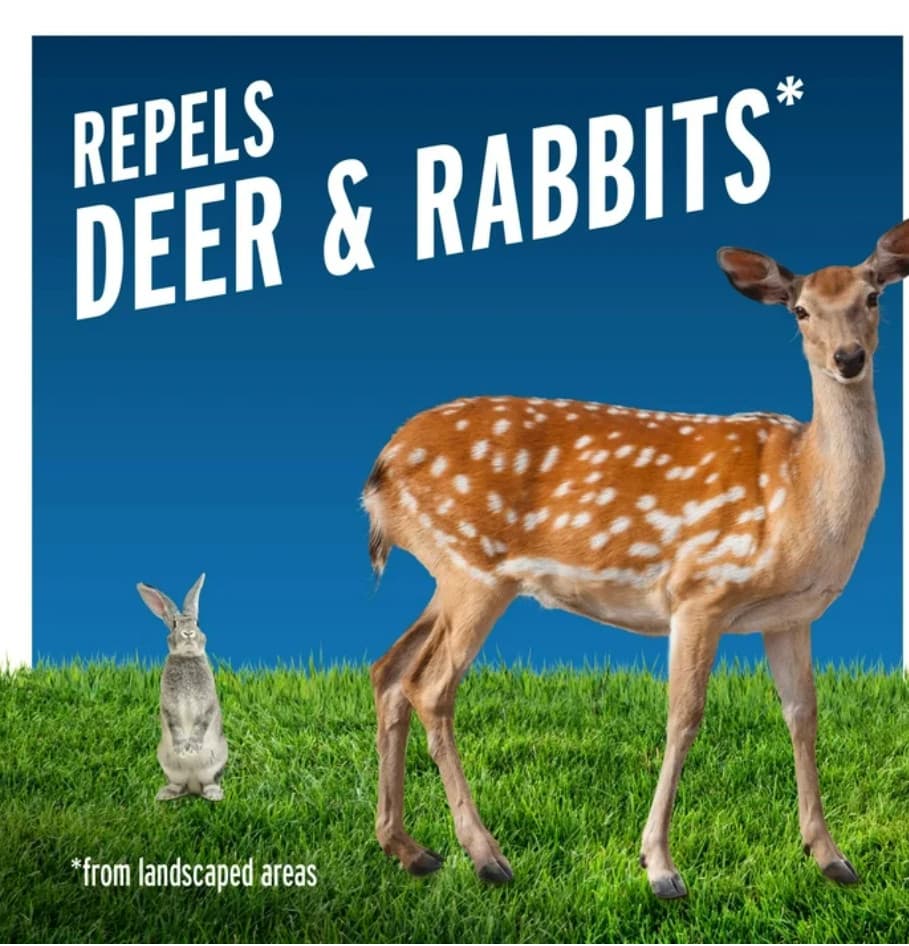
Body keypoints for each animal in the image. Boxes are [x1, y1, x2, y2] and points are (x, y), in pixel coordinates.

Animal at [137, 573, 228, 802]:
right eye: (175, 624)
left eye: (197, 622)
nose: (188, 633)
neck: (186, 657)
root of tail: (193, 785)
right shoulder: (168, 705)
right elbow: (174, 723)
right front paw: (182, 749)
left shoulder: (208, 702)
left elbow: (202, 721)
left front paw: (192, 747)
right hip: (169, 766)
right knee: (178, 785)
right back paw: (165, 794)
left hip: (216, 761)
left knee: (209, 781)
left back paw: (214, 794)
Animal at [361, 220, 908, 899]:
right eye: (800, 309)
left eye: (874, 297)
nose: (848, 358)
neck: (802, 490)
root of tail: (379, 470)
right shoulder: (701, 589)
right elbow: (684, 717)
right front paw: (661, 867)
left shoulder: (789, 616)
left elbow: (803, 715)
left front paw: (831, 857)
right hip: (475, 568)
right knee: (430, 686)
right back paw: (486, 857)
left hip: (451, 572)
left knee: (388, 669)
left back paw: (409, 849)